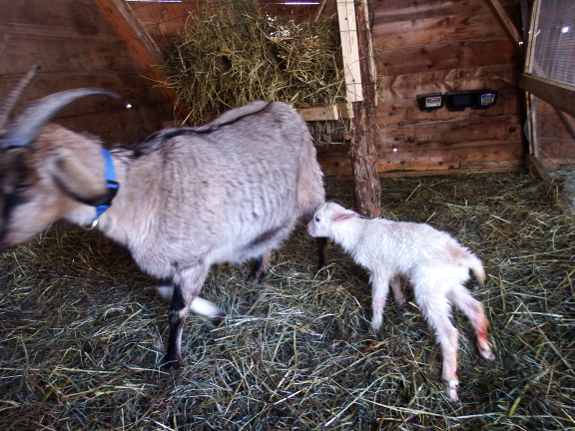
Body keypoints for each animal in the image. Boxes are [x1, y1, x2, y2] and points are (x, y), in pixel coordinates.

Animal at [308, 202, 498, 402]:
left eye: (317, 219)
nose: (307, 229)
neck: (359, 234)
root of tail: (463, 256)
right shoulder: (391, 266)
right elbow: (395, 283)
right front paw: (400, 301)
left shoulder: (379, 270)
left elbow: (378, 299)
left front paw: (375, 326)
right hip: (446, 284)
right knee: (475, 308)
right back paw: (485, 349)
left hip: (429, 289)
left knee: (449, 333)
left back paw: (450, 385)